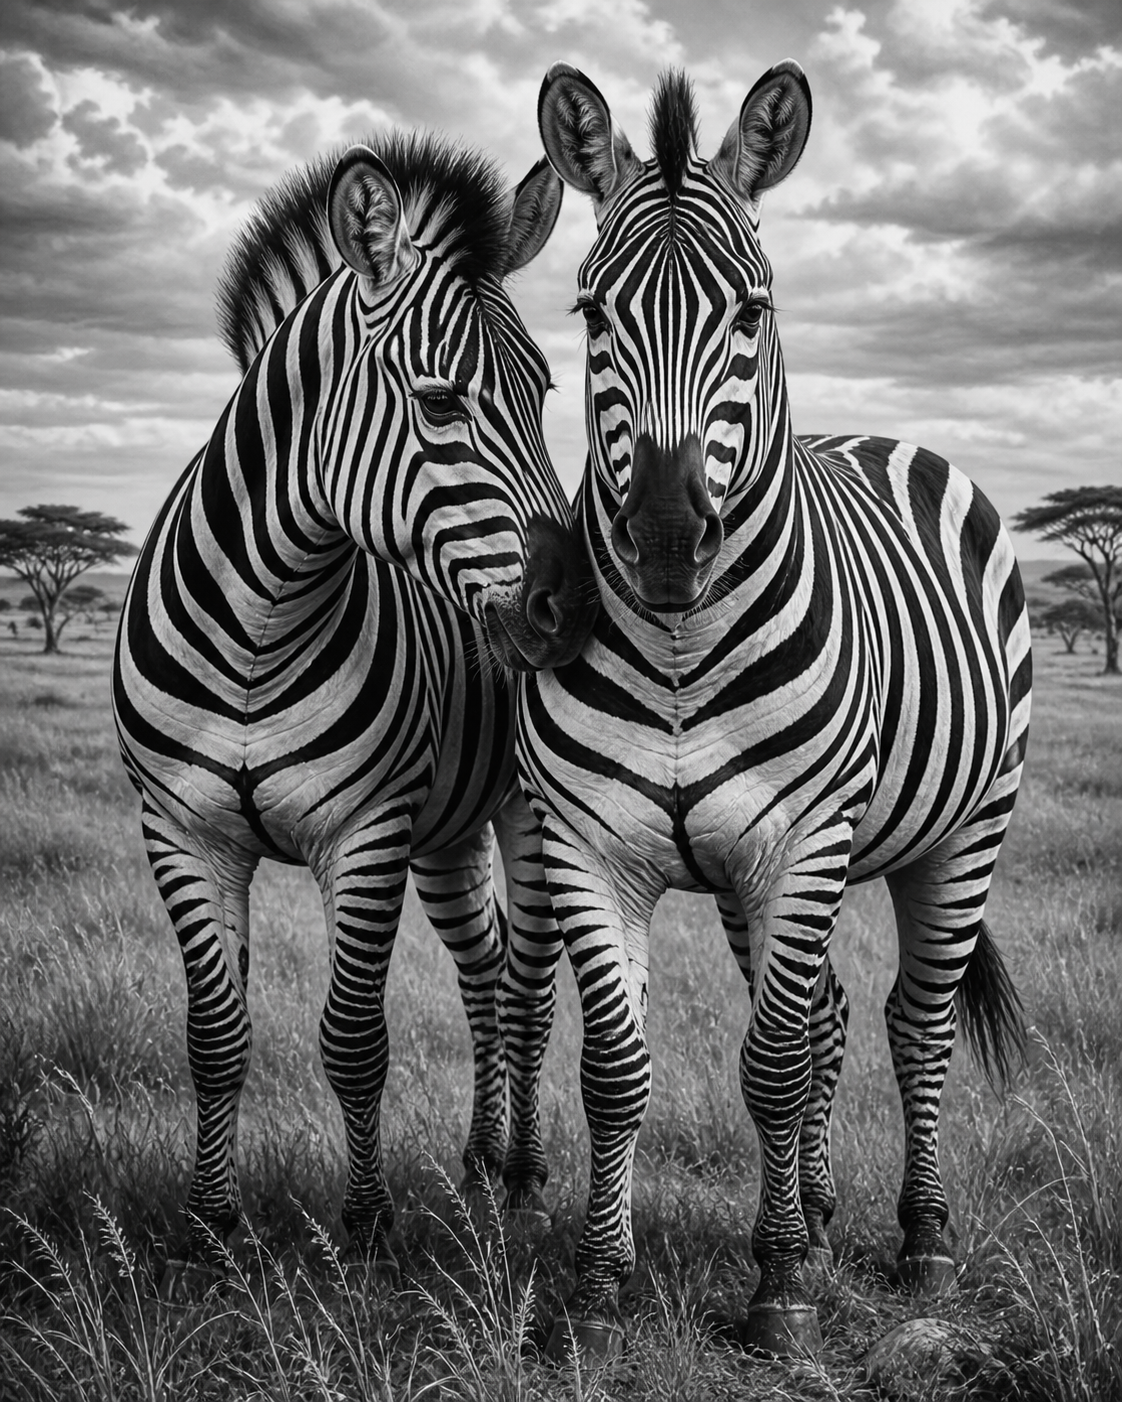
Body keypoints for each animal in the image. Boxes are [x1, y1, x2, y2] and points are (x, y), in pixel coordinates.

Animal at [112, 131, 596, 1296]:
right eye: (441, 403)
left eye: (546, 391)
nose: (571, 614)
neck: (260, 620)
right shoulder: (181, 829)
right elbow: (215, 1033)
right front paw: (211, 1230)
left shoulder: (365, 833)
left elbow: (353, 1039)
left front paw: (368, 1229)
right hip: (448, 833)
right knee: (483, 970)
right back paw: (477, 1163)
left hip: (524, 812)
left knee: (527, 985)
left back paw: (521, 1175)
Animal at [501, 63, 1031, 1358]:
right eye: (591, 317)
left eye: (751, 312)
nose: (666, 544)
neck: (682, 653)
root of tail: (894, 440)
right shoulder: (590, 846)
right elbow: (619, 1068)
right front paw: (600, 1287)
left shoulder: (800, 840)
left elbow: (775, 1067)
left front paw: (780, 1288)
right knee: (834, 1012)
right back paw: (827, 1214)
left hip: (963, 828)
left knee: (910, 1023)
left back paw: (919, 1240)